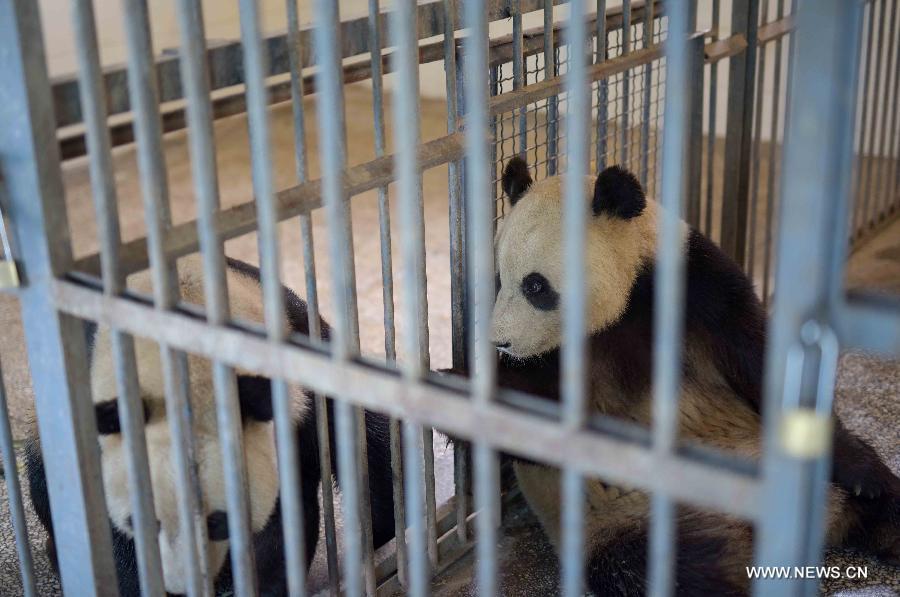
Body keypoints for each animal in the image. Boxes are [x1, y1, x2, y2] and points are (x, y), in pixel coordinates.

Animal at [486, 156, 900, 595]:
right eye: (498, 279)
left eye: (535, 286)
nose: (501, 342)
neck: (620, 310)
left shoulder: (696, 283)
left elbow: (759, 362)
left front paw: (861, 473)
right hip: (629, 520)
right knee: (658, 569)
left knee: (886, 503)